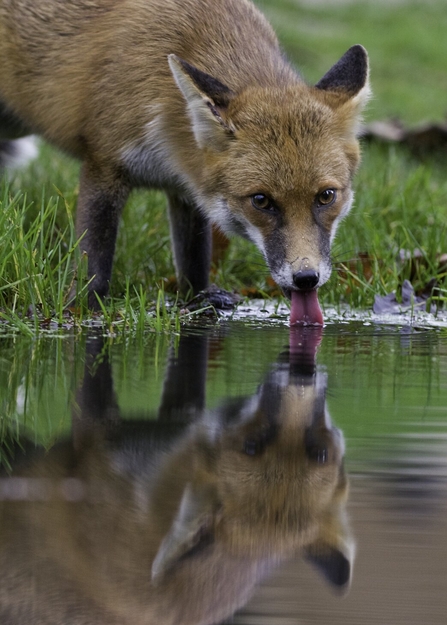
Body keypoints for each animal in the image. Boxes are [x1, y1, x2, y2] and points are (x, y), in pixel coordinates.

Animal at [0, 0, 372, 322]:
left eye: (326, 196)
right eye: (261, 201)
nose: (306, 277)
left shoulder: (189, 191)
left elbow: (194, 266)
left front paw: (200, 302)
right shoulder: (103, 165)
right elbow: (94, 266)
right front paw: (84, 312)